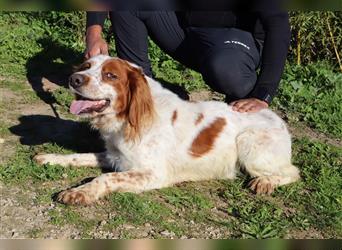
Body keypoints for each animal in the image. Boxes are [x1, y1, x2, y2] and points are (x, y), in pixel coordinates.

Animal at [33, 54, 298, 205]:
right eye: (86, 66)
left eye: (110, 75)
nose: (74, 79)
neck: (130, 120)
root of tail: (276, 117)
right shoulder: (115, 156)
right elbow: (79, 156)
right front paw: (49, 158)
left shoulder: (152, 173)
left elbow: (105, 177)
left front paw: (80, 192)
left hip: (247, 143)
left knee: (293, 172)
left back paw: (265, 182)